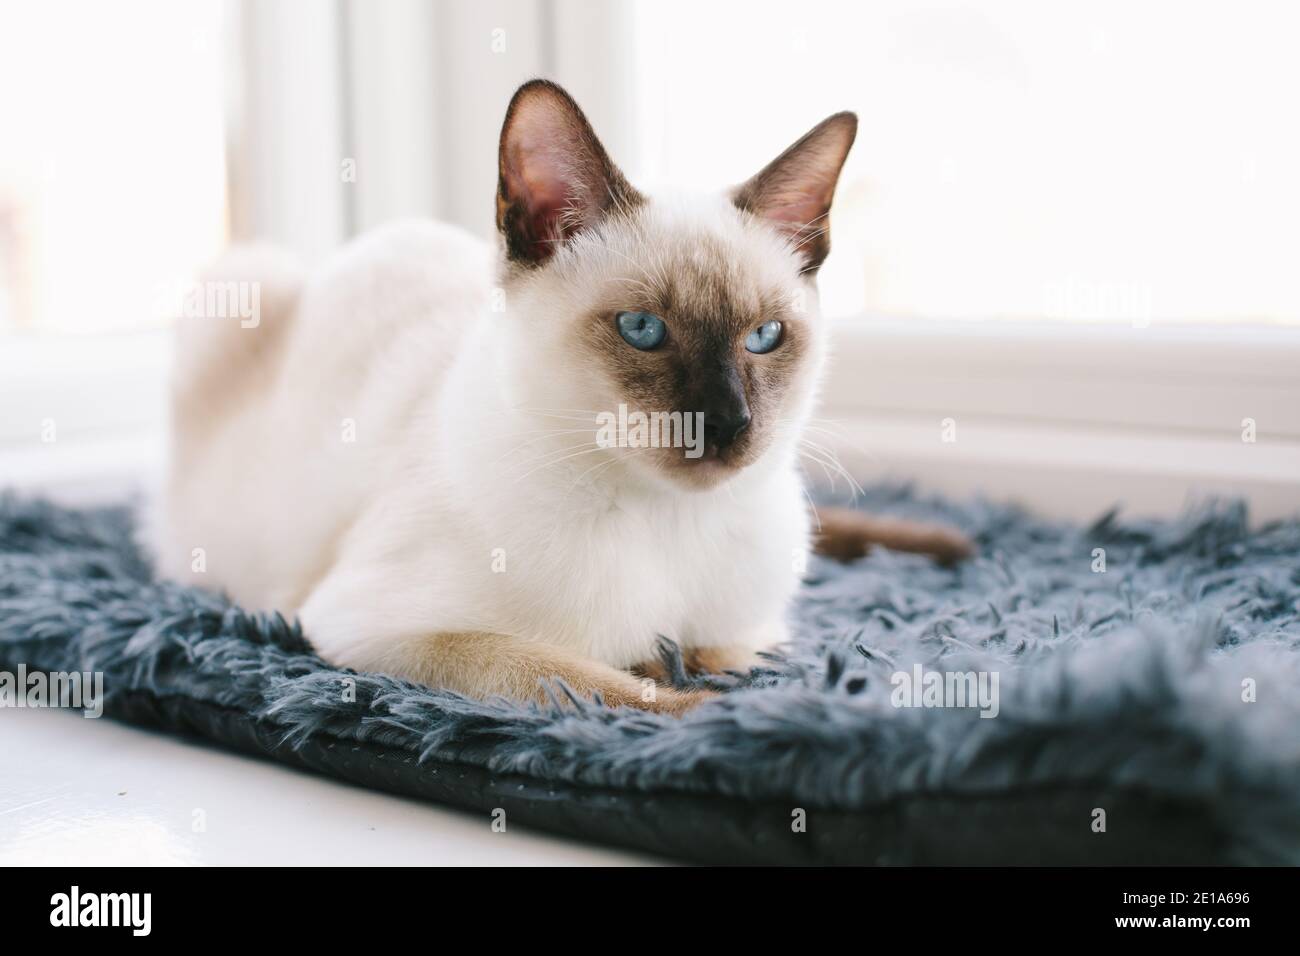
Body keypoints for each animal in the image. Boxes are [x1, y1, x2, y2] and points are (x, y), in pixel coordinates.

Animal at [152, 78, 972, 712]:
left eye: (765, 337)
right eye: (643, 330)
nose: (728, 424)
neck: (666, 523)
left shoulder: (752, 631)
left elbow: (712, 656)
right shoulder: (372, 632)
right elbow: (622, 687)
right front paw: (727, 715)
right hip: (242, 281)